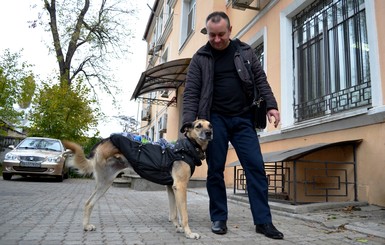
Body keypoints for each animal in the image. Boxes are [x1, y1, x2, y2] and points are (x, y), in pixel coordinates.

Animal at [63, 119, 213, 239]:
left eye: (210, 125)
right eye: (198, 126)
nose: (209, 133)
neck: (187, 147)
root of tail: (104, 140)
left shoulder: (171, 187)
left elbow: (174, 212)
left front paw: (178, 228)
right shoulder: (180, 186)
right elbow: (184, 214)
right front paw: (189, 233)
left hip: (105, 182)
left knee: (88, 203)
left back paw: (86, 226)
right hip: (105, 181)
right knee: (90, 202)